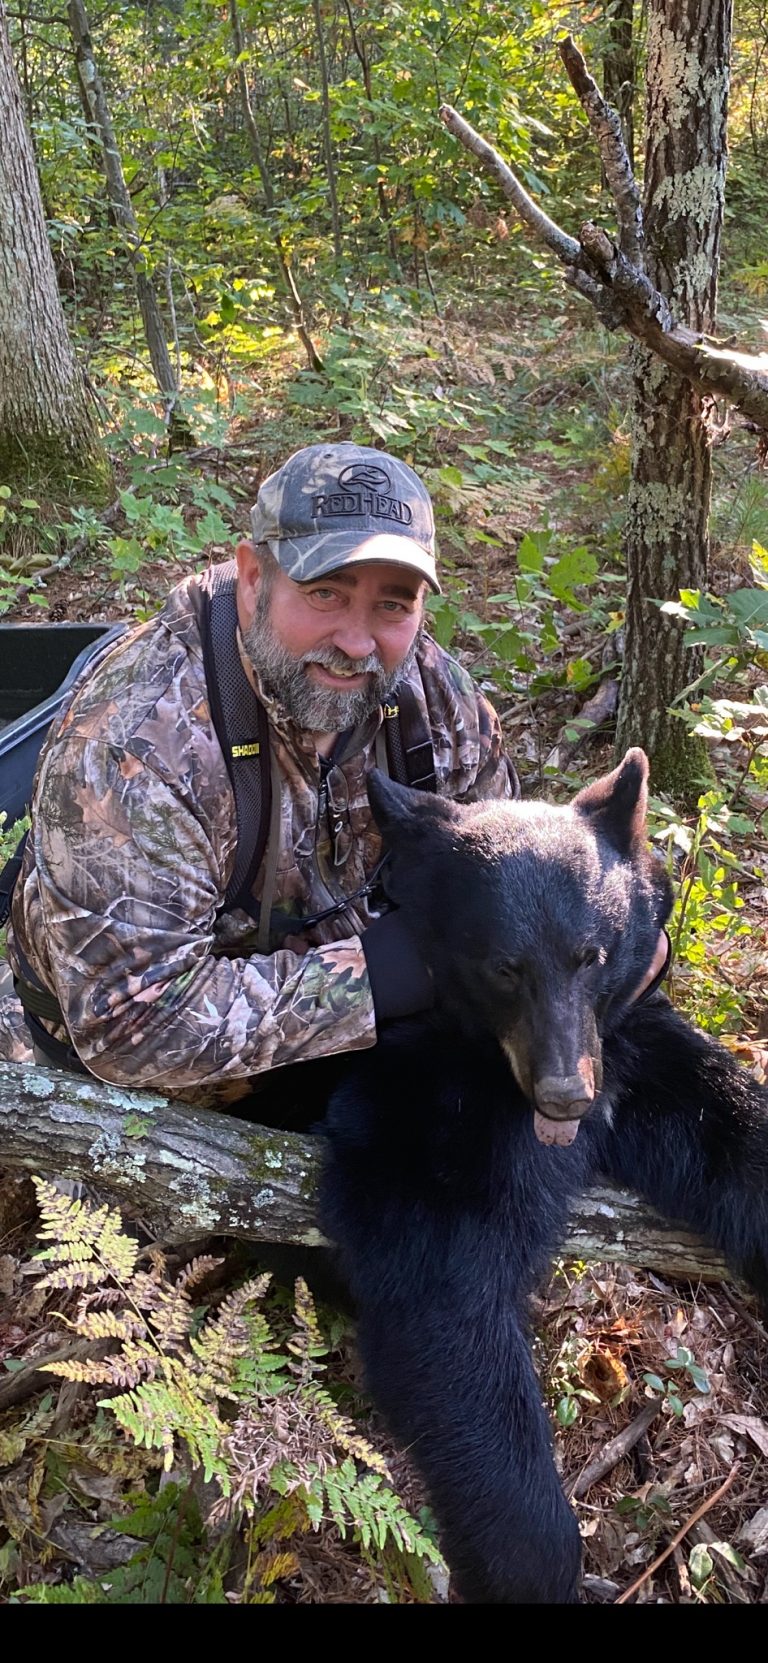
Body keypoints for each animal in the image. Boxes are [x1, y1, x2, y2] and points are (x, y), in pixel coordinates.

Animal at [316, 749, 768, 1605]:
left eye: (593, 953)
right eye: (503, 967)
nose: (566, 1094)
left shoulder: (627, 1044)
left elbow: (727, 1123)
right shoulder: (419, 1105)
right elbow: (446, 1289)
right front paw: (534, 1561)